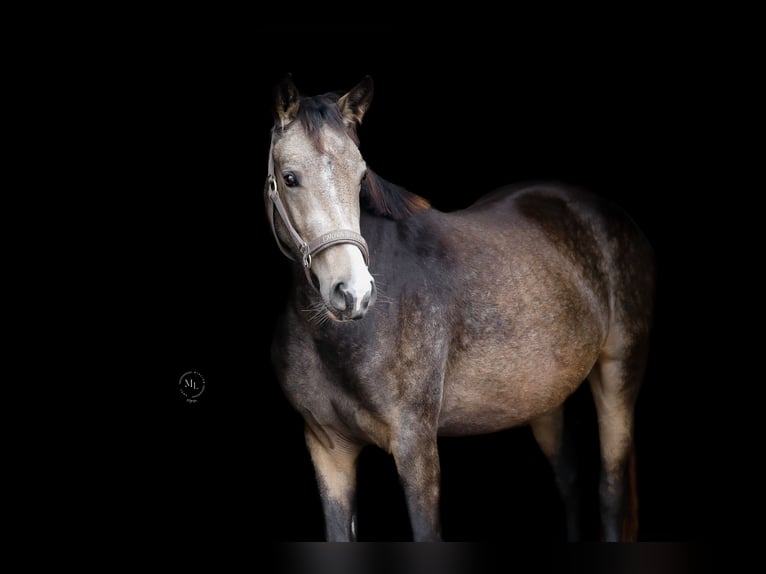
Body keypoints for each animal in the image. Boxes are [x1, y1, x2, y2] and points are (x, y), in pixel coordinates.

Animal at [264, 75, 655, 542]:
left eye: (359, 176)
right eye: (290, 178)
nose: (352, 293)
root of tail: (608, 214)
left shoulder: (415, 446)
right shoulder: (329, 450)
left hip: (619, 373)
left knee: (610, 492)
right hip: (543, 400)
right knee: (570, 481)